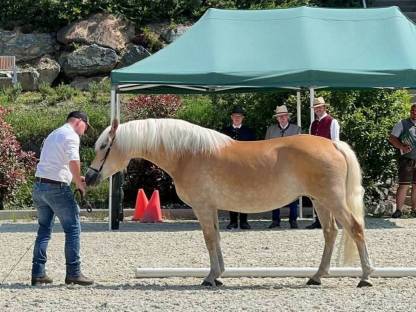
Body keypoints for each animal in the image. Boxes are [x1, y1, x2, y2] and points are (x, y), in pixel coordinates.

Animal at [85, 117, 374, 288]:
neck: (187, 154)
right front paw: (219, 274)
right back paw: (316, 277)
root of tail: (333, 144)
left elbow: (209, 239)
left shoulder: (202, 207)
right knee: (330, 233)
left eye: (104, 146)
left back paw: (365, 277)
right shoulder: (211, 208)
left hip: (332, 200)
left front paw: (210, 277)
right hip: (320, 201)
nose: (88, 177)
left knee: (355, 229)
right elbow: (216, 238)